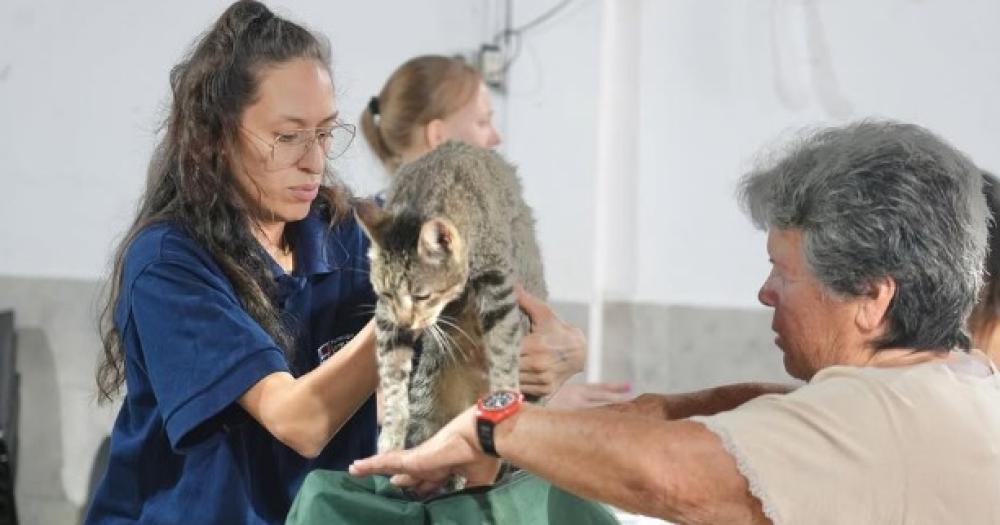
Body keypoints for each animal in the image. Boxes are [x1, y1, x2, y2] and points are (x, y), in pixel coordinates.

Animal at [354, 141, 548, 452]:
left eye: (422, 296)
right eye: (385, 293)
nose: (406, 323)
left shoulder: (496, 282)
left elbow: (503, 348)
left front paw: (505, 395)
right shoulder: (387, 315)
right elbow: (392, 374)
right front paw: (392, 436)